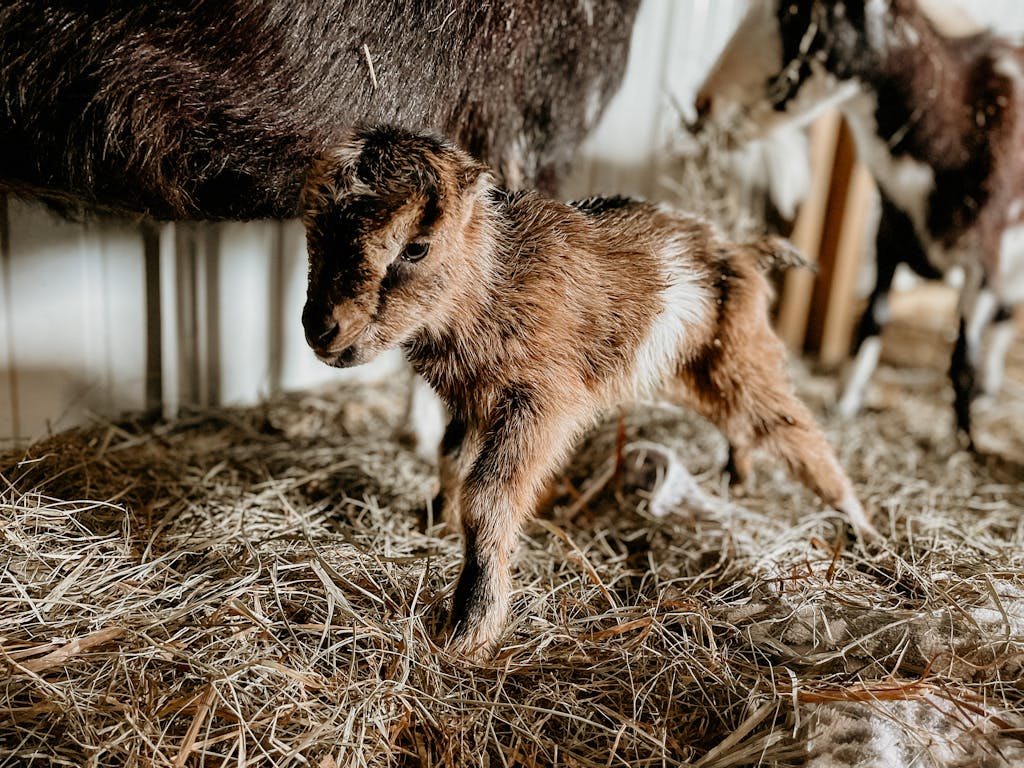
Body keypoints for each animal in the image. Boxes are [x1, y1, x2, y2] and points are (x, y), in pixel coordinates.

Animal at [299, 125, 872, 659]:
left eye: (416, 247)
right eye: (315, 234)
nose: (321, 328)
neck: (495, 283)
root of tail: (743, 250)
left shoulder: (543, 402)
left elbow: (488, 497)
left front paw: (471, 630)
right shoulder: (473, 399)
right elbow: (450, 459)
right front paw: (434, 523)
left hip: (742, 359)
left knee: (796, 430)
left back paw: (861, 528)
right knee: (745, 426)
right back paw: (742, 475)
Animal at [691, 0, 1024, 446]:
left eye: (794, 15)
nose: (704, 101)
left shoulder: (985, 259)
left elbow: (961, 359)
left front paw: (964, 442)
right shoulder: (889, 232)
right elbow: (871, 322)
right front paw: (845, 403)